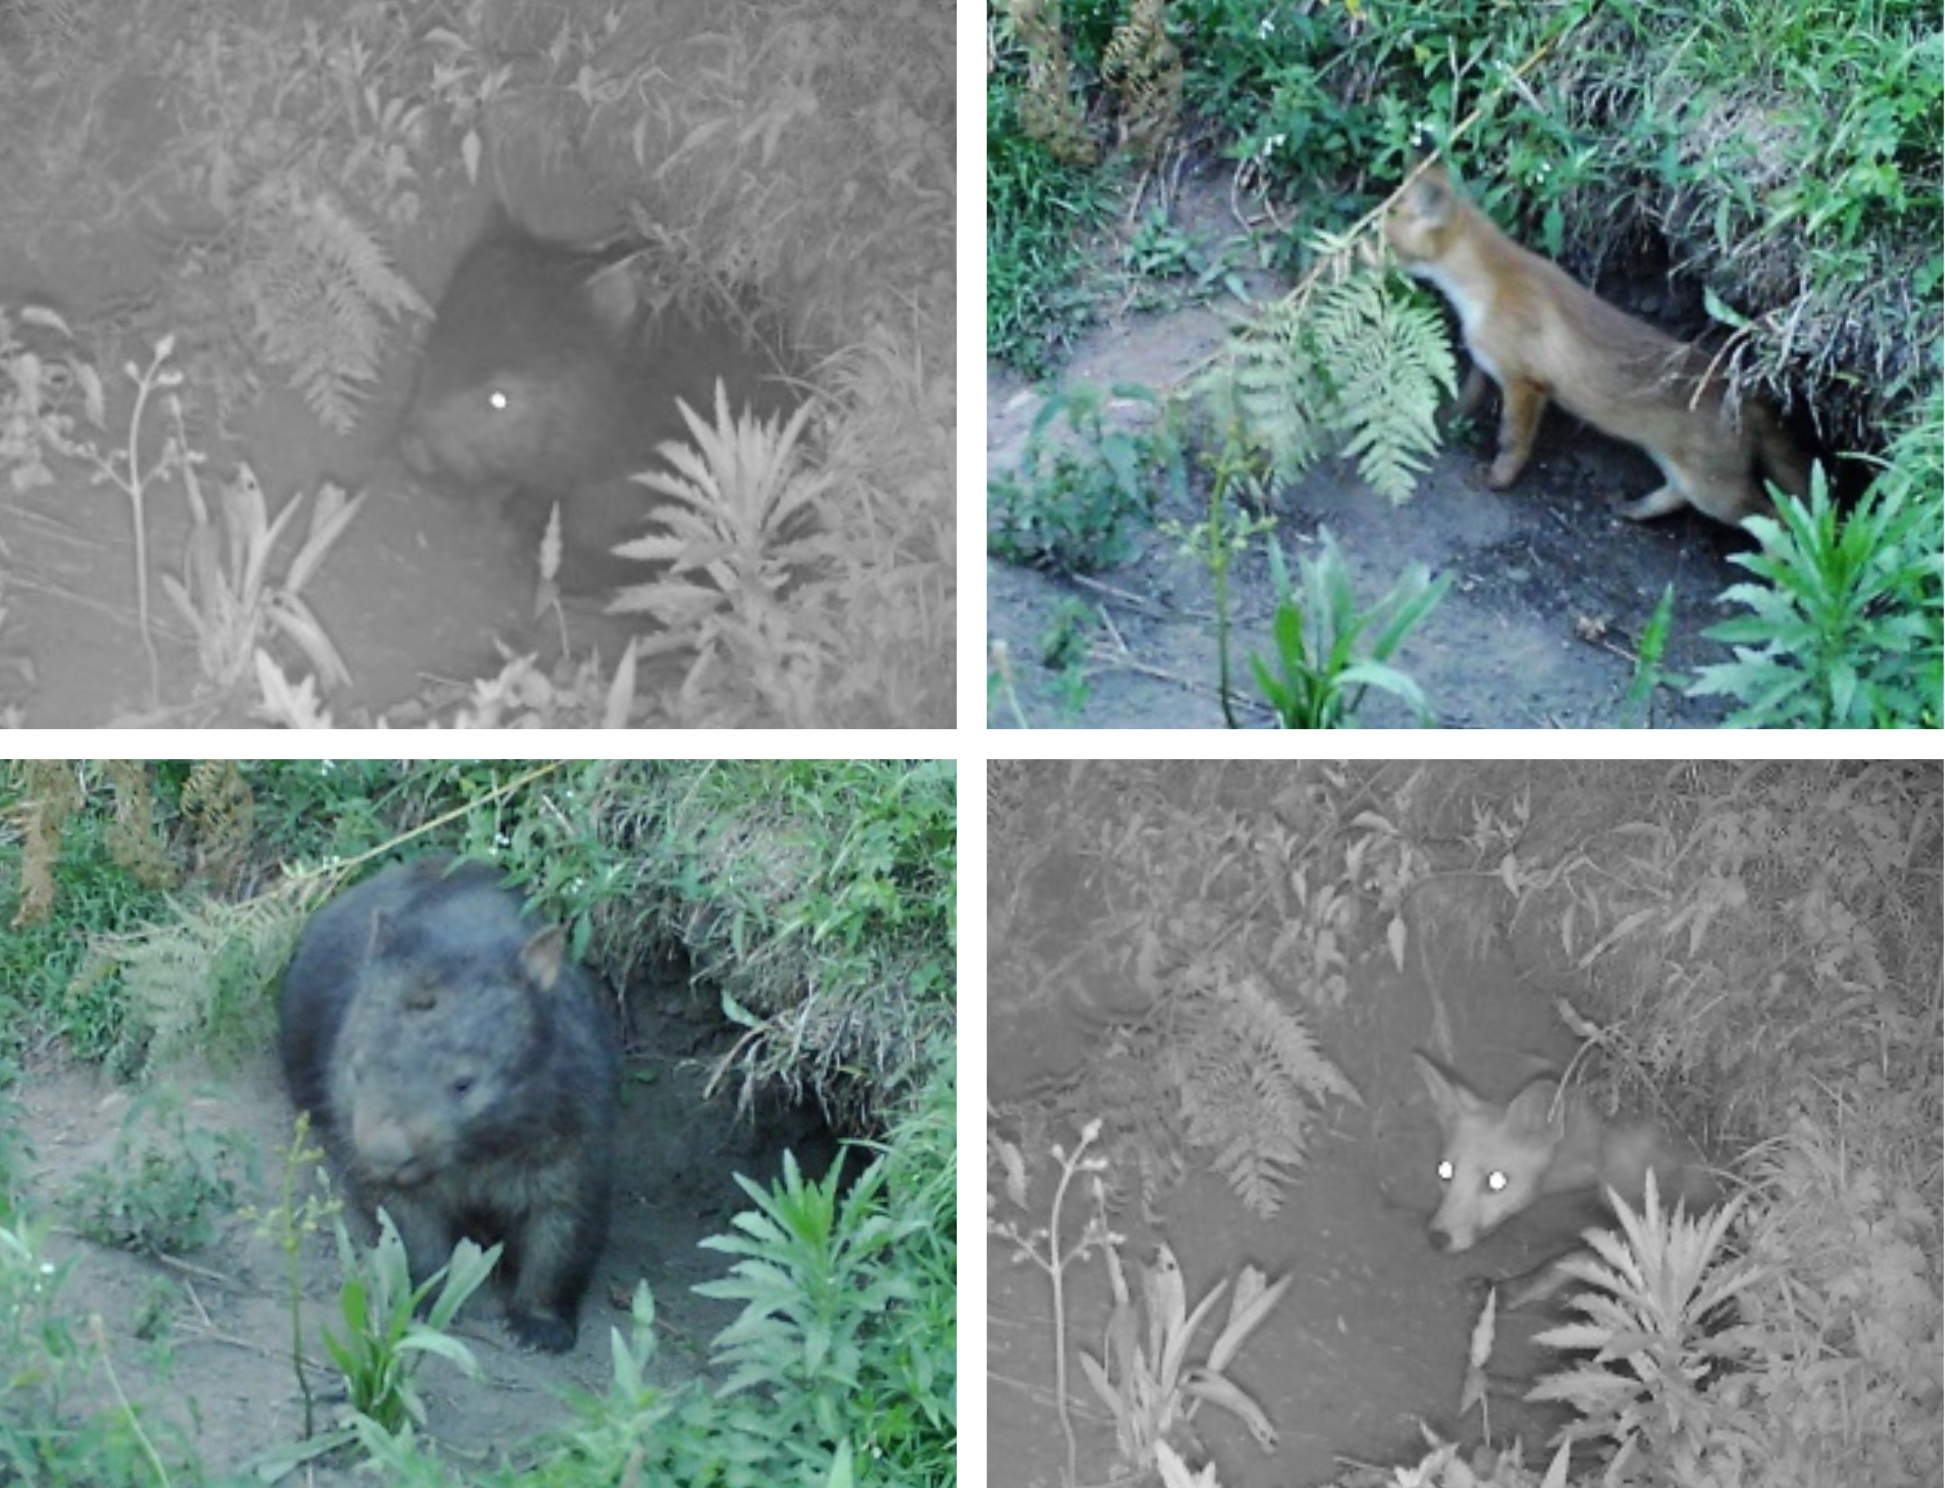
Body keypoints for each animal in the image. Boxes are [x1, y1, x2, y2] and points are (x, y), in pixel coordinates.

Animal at [1384, 158, 1804, 521]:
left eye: (1379, 239)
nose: (1362, 259)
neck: (1486, 289)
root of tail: (1744, 389)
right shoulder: (1488, 363)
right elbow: (1465, 400)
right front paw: (1441, 422)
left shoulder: (1527, 384)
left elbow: (1512, 444)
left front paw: (1496, 480)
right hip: (1682, 470)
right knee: (1676, 497)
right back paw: (1633, 509)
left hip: (1715, 491)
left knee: (1777, 520)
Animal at [1415, 1050, 1719, 1307]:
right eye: (1444, 1171)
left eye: (1496, 1181)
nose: (1437, 1238)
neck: (1602, 1151)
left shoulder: (1668, 1218)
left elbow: (1568, 1259)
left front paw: (1504, 1291)